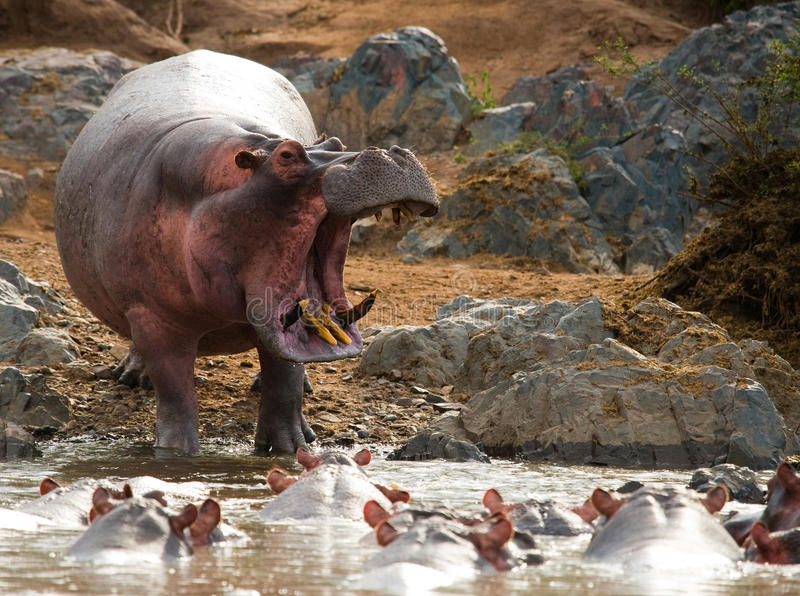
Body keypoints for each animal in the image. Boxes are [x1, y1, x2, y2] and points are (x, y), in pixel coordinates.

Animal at [53, 49, 440, 454]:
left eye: (335, 143)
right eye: (286, 156)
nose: (387, 152)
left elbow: (284, 382)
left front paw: (294, 448)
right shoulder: (151, 316)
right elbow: (175, 393)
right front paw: (176, 453)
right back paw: (131, 375)